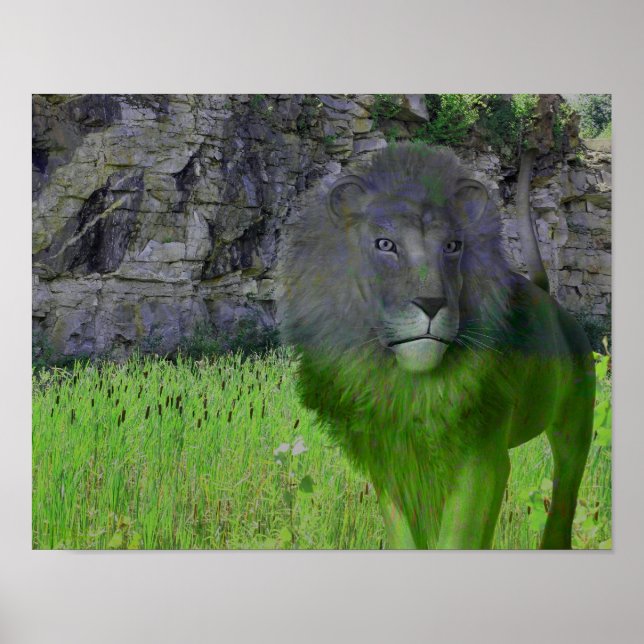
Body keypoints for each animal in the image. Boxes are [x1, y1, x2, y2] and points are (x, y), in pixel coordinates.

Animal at [280, 143, 595, 549]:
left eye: (451, 246)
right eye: (385, 244)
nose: (431, 304)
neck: (412, 385)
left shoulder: (483, 460)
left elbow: (458, 537)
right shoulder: (392, 459)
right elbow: (406, 535)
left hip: (575, 425)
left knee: (565, 489)